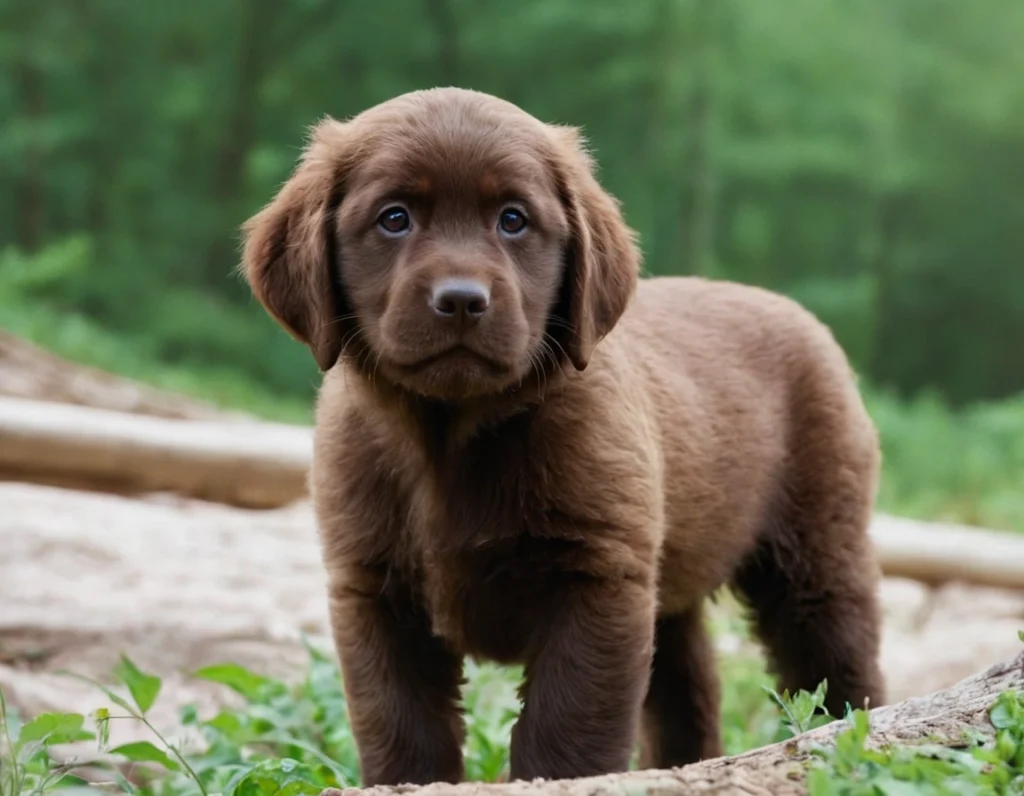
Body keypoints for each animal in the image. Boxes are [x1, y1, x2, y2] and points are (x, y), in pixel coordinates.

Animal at [237, 85, 880, 782]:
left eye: (514, 220)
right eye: (394, 218)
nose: (461, 300)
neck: (450, 437)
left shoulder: (596, 576)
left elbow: (567, 722)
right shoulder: (375, 588)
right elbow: (399, 721)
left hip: (815, 552)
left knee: (837, 664)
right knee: (686, 689)